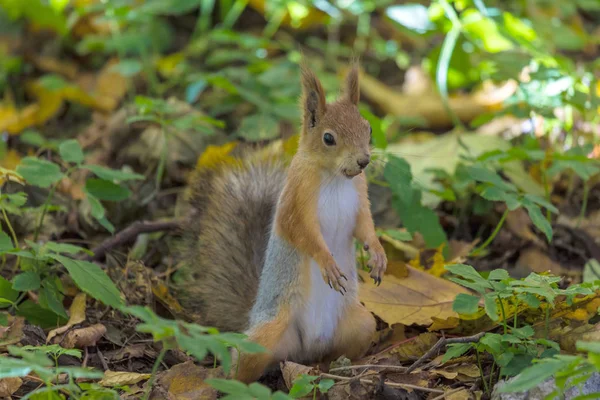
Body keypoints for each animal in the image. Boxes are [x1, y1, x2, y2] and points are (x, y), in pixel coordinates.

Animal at [176, 62, 386, 382]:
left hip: (360, 324)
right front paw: (327, 262)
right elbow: (300, 232)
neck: (335, 178)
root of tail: (301, 350)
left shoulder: (360, 198)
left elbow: (365, 227)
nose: (363, 161)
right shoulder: (295, 199)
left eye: (368, 128)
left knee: (335, 350)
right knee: (243, 365)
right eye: (328, 138)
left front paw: (377, 254)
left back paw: (337, 366)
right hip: (265, 336)